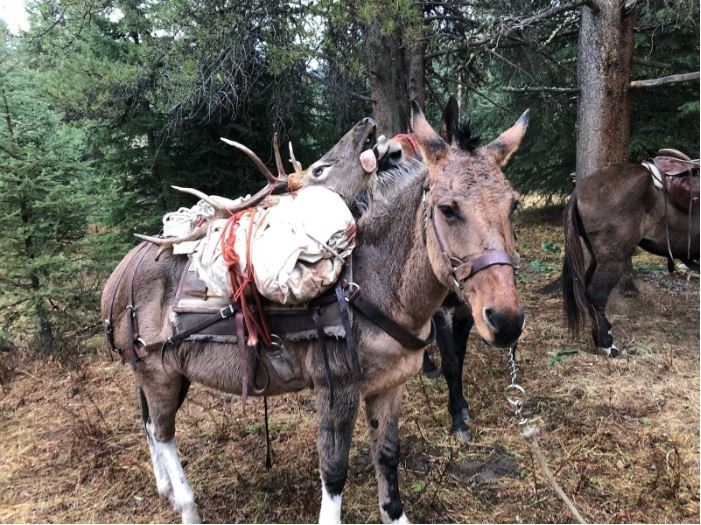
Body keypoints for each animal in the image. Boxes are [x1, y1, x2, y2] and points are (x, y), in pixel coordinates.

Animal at [101, 101, 526, 524]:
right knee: (163, 432)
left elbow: (388, 458)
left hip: (171, 373)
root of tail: (115, 280)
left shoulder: (390, 386)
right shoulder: (336, 386)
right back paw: (186, 505)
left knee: (150, 423)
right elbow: (334, 472)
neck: (380, 285)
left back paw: (167, 491)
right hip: (158, 373)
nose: (506, 320)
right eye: (448, 209)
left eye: (513, 204)